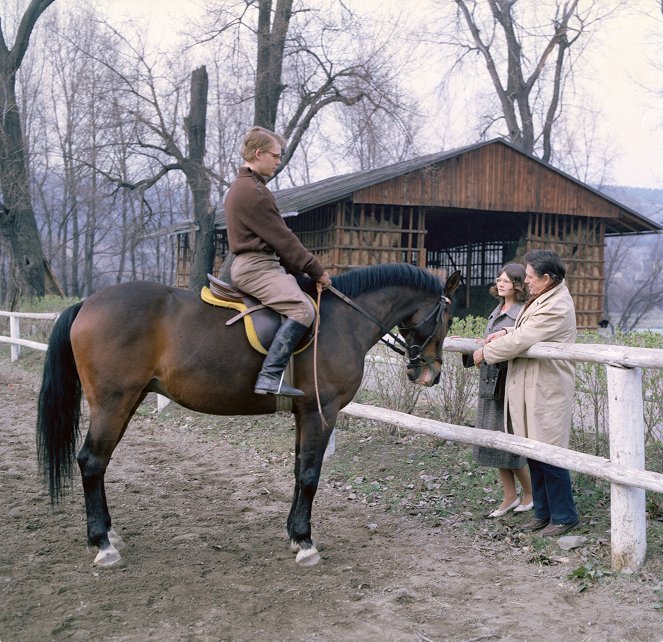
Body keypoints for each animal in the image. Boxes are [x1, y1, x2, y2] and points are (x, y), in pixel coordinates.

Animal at [36, 264, 462, 564]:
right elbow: (310, 475)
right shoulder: (320, 412)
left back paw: (109, 534)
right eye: (447, 318)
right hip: (113, 403)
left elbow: (298, 470)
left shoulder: (303, 414)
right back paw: (103, 544)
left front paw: (294, 533)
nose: (431, 373)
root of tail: (87, 303)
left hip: (128, 401)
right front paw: (305, 542)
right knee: (92, 461)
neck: (343, 320)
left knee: (99, 463)